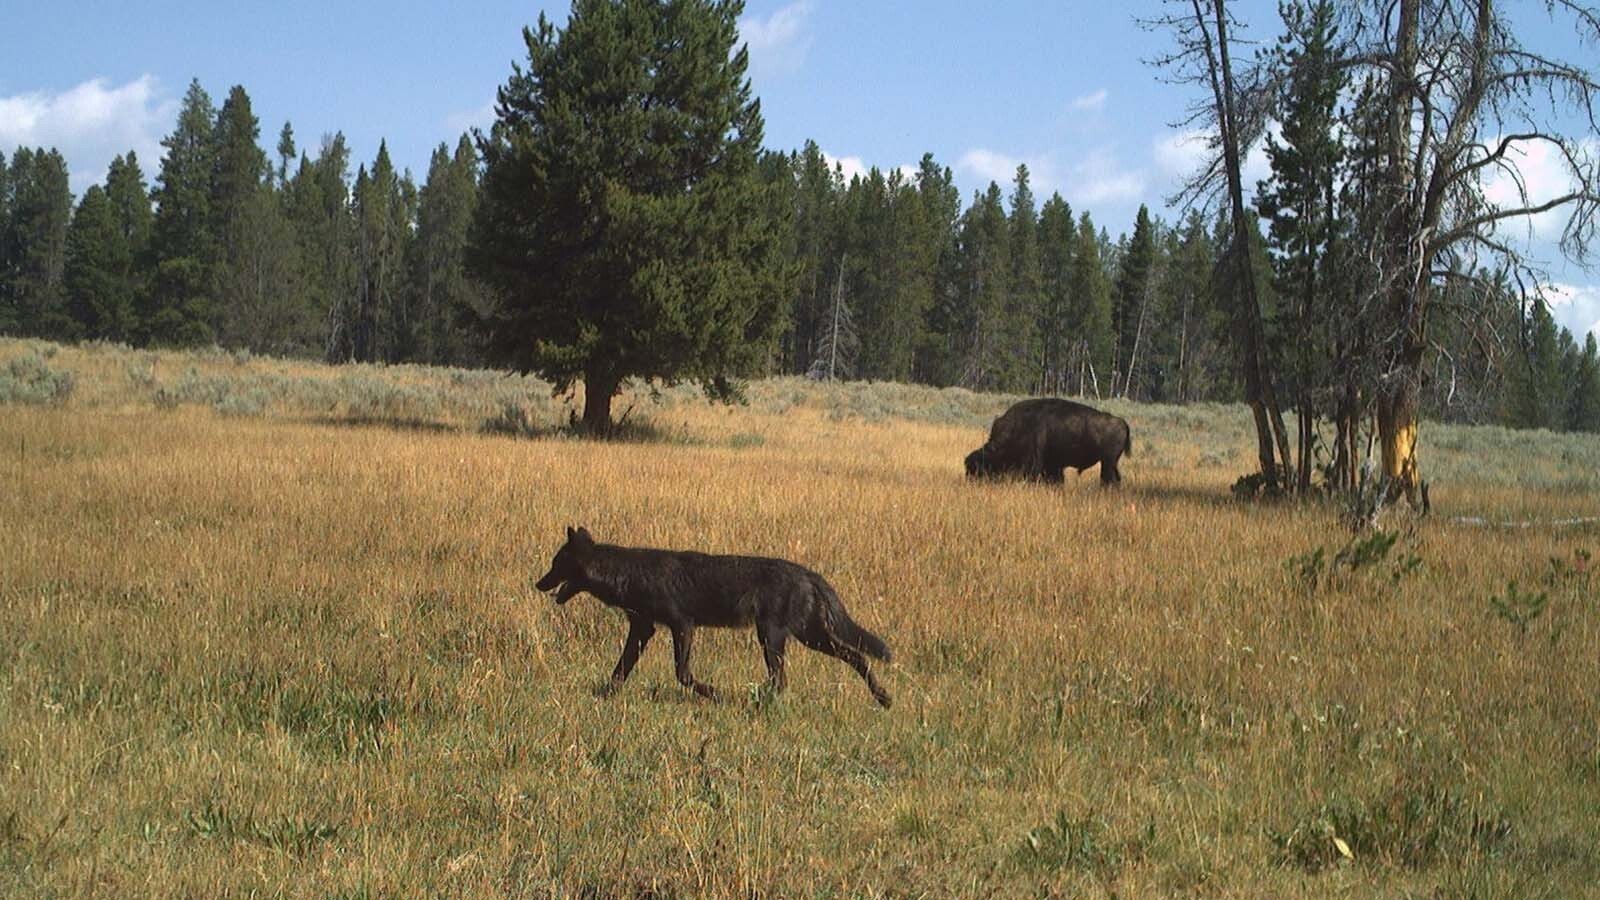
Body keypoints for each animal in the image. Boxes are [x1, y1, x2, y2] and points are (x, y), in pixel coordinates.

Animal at [535, 527, 892, 707]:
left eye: (555, 564)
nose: (538, 583)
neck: (627, 572)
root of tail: (807, 573)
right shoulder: (643, 629)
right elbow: (620, 670)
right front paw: (604, 697)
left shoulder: (682, 625)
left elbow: (683, 674)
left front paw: (714, 694)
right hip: (808, 637)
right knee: (857, 657)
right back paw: (884, 699)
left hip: (775, 637)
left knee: (783, 679)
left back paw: (755, 702)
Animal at [965, 398, 1132, 485]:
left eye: (980, 468)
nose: (971, 482)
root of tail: (1122, 421)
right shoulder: (1053, 465)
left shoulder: (1036, 462)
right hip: (1111, 462)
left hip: (1107, 462)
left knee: (1108, 478)